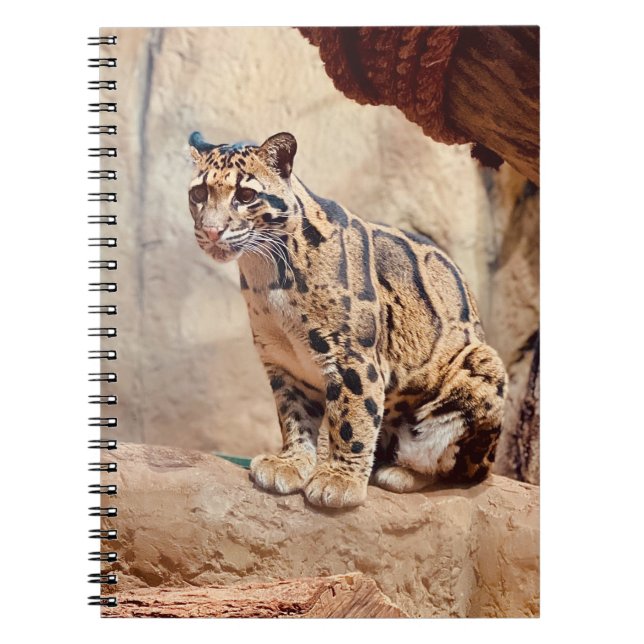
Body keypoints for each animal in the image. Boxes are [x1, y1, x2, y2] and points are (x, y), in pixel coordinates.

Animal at [187, 130, 507, 508]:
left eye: (246, 195)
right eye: (198, 193)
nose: (211, 231)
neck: (265, 273)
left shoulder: (352, 356)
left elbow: (353, 418)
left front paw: (339, 481)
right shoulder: (284, 362)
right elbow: (294, 416)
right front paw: (292, 463)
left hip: (482, 366)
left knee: (458, 468)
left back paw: (401, 472)